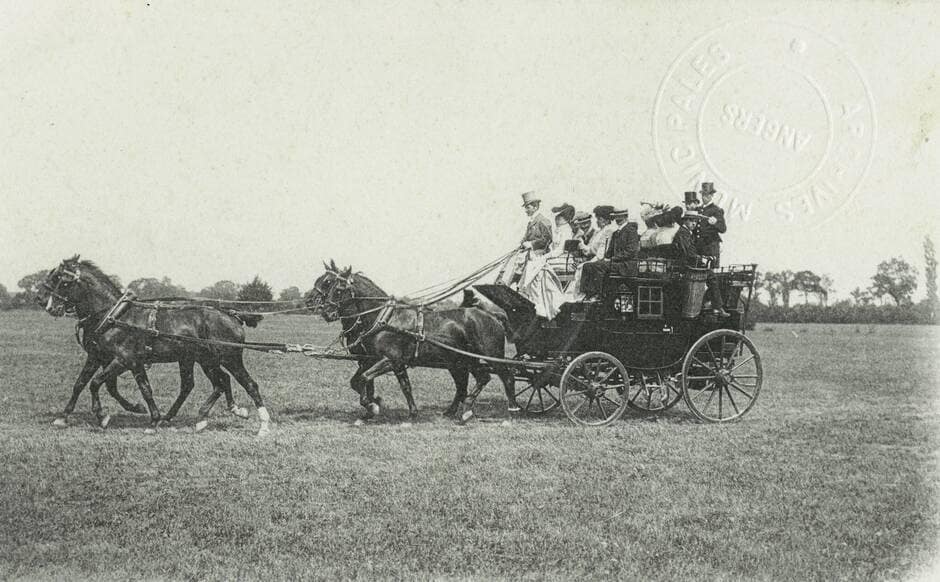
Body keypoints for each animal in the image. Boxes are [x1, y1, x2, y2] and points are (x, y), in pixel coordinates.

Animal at [44, 258, 272, 436]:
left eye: (63, 282)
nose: (50, 307)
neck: (114, 316)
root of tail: (232, 314)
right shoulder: (104, 357)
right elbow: (84, 383)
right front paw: (63, 417)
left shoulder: (124, 359)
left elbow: (96, 383)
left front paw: (104, 416)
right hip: (204, 359)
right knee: (216, 382)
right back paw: (203, 417)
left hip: (229, 358)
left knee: (248, 384)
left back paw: (262, 425)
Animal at [304, 262, 516, 422]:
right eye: (325, 283)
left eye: (337, 288)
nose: (325, 312)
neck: (382, 319)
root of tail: (493, 315)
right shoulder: (373, 360)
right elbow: (369, 382)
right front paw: (379, 406)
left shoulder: (389, 360)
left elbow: (365, 379)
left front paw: (373, 406)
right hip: (460, 361)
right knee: (472, 381)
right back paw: (457, 411)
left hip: (490, 355)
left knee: (504, 377)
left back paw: (510, 410)